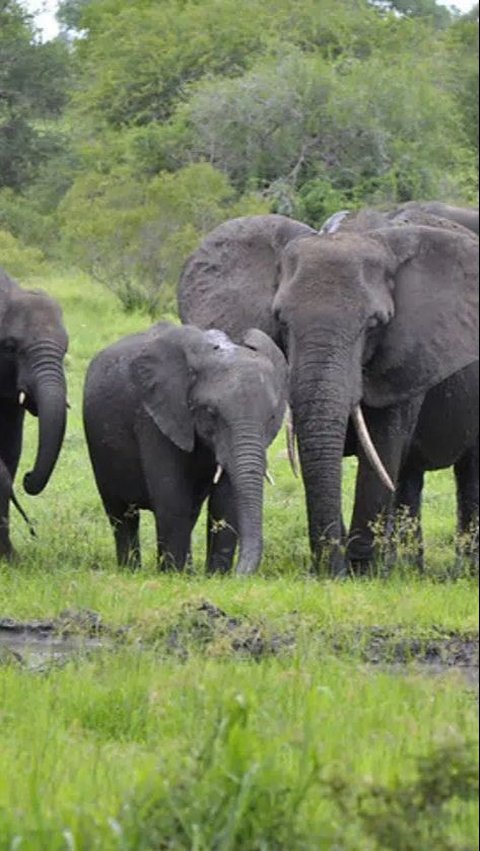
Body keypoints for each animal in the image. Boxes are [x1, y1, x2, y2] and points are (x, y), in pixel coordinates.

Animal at [81, 322, 288, 576]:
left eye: (271, 417)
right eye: (210, 413)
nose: (240, 574)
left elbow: (225, 501)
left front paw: (216, 576)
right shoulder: (155, 417)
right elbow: (172, 495)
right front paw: (179, 576)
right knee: (122, 515)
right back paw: (132, 571)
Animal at [178, 213, 478, 572]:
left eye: (374, 324)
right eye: (281, 320)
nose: (331, 571)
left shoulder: (405, 353)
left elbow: (382, 445)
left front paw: (362, 572)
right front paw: (343, 569)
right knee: (410, 477)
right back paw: (407, 569)